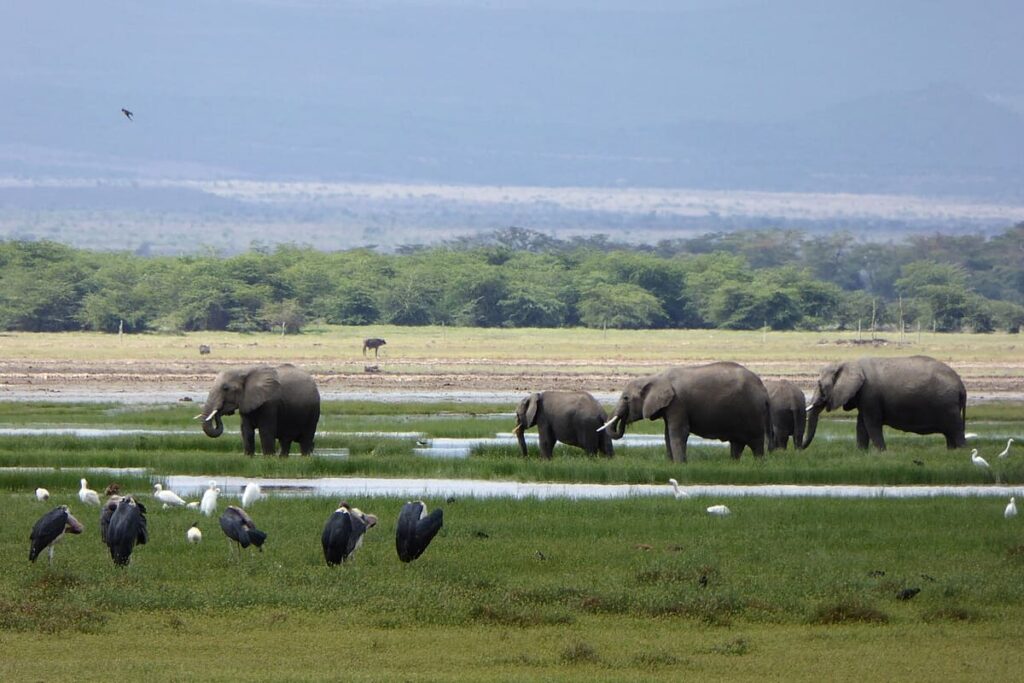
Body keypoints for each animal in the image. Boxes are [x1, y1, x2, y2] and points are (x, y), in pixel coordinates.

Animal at [602, 362, 772, 463]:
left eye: (626, 398)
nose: (623, 421)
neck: (655, 378)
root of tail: (764, 390)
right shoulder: (670, 407)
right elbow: (667, 434)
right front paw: (671, 463)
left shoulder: (678, 403)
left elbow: (678, 432)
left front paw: (680, 464)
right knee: (737, 444)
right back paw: (733, 463)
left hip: (753, 412)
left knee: (756, 442)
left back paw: (759, 463)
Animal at [802, 356, 966, 451]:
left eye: (820, 385)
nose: (800, 448)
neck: (849, 363)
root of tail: (961, 386)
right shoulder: (865, 397)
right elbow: (861, 425)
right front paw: (861, 453)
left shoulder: (870, 394)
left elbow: (871, 424)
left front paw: (881, 453)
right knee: (950, 433)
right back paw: (951, 451)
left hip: (948, 406)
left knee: (955, 429)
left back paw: (962, 451)